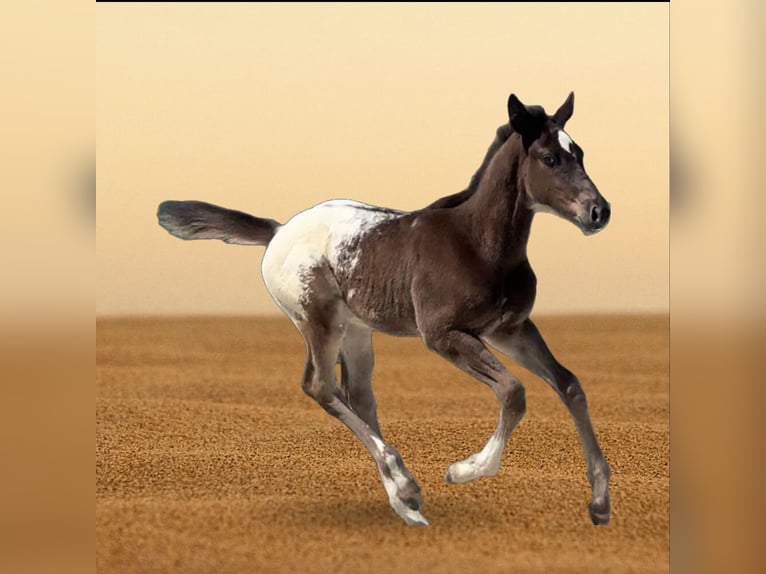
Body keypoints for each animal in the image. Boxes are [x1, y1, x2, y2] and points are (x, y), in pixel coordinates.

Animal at [157, 92, 612, 527]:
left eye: (580, 153)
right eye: (549, 158)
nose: (599, 212)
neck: (478, 243)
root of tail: (279, 230)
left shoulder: (510, 329)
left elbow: (569, 384)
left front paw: (600, 503)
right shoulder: (442, 336)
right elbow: (513, 391)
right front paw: (464, 470)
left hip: (356, 331)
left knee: (357, 395)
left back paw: (405, 498)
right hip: (319, 322)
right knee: (321, 386)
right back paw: (406, 488)